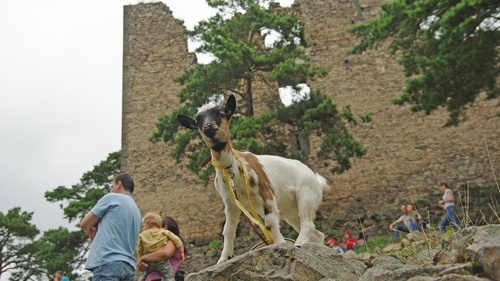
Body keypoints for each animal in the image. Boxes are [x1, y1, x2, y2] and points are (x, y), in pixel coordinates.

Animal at [178, 94, 330, 262]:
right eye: (198, 121)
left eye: (222, 113)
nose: (208, 126)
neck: (233, 170)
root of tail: (317, 180)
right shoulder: (231, 203)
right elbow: (228, 230)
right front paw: (224, 258)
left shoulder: (266, 194)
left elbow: (270, 223)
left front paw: (280, 245)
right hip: (291, 212)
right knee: (317, 233)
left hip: (306, 196)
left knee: (307, 224)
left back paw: (298, 244)